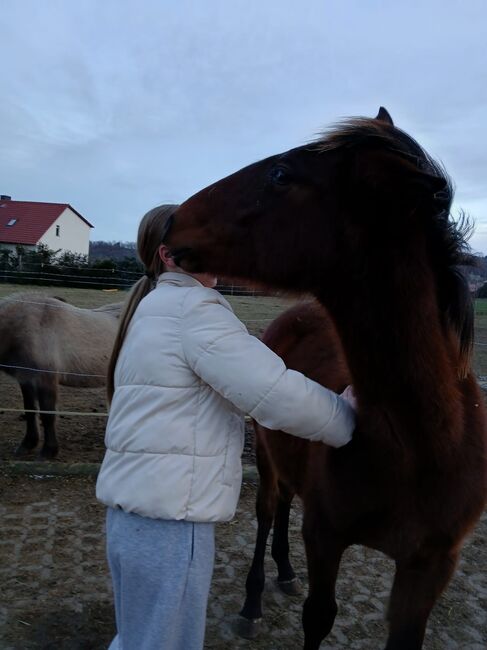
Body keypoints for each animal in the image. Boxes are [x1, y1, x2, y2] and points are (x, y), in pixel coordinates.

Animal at [0, 292, 121, 458]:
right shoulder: (25, 378)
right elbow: (30, 410)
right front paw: (28, 444)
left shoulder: (46, 379)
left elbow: (48, 414)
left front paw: (48, 451)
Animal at [168, 109, 487, 644]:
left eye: (281, 174)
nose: (173, 221)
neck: (424, 443)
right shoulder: (325, 535)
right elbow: (318, 617)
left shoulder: (429, 567)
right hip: (268, 457)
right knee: (269, 511)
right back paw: (254, 598)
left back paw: (283, 571)